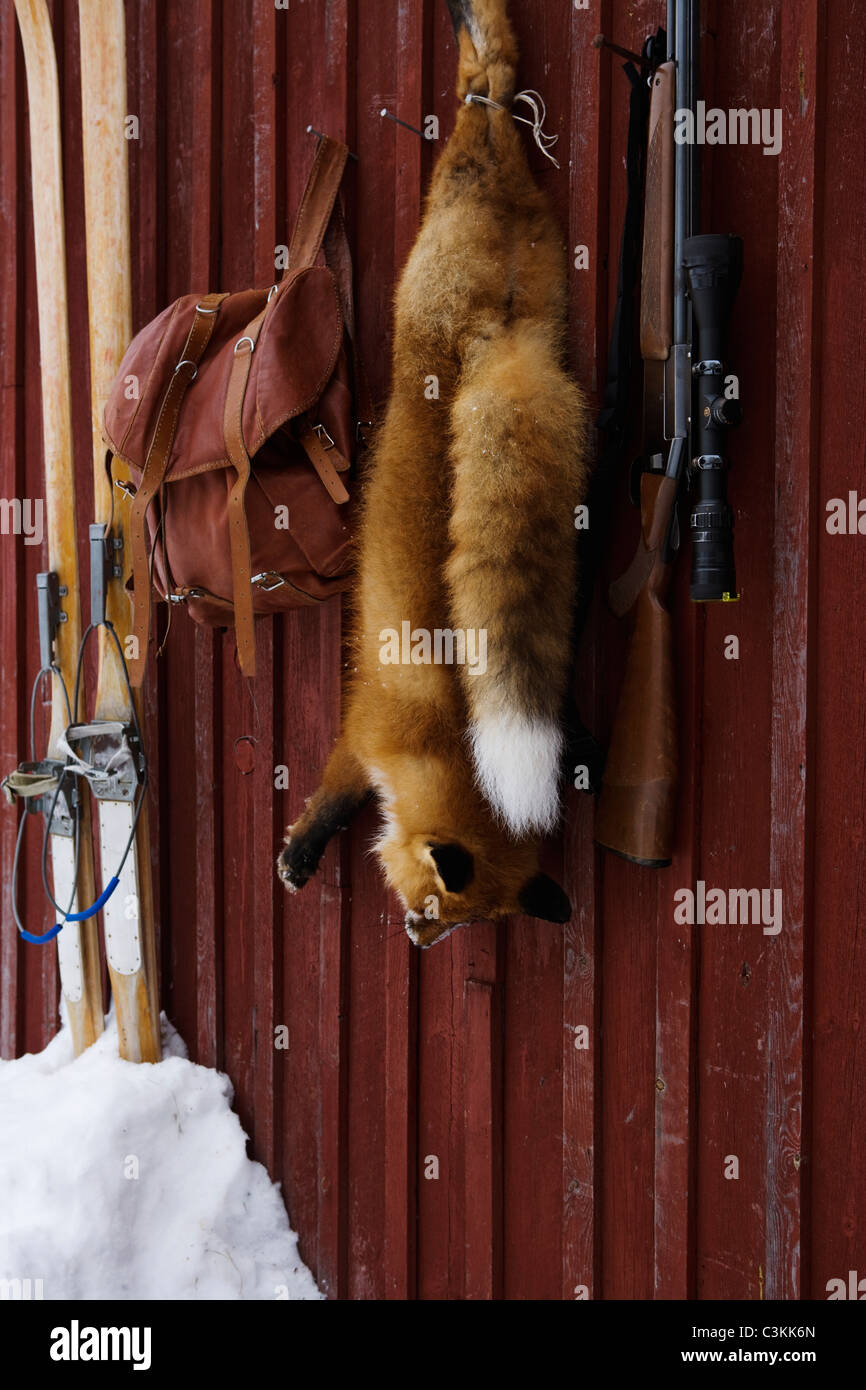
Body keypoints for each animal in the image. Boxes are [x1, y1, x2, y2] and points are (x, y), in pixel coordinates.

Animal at [278, 0, 589, 945]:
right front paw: (306, 849)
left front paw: (300, 854)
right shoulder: (364, 729)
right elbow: (335, 795)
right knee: (486, 91)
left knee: (480, 89)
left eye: (447, 923)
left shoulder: (358, 736)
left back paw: (472, 56)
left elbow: (333, 800)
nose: (417, 943)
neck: (438, 741)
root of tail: (503, 339)